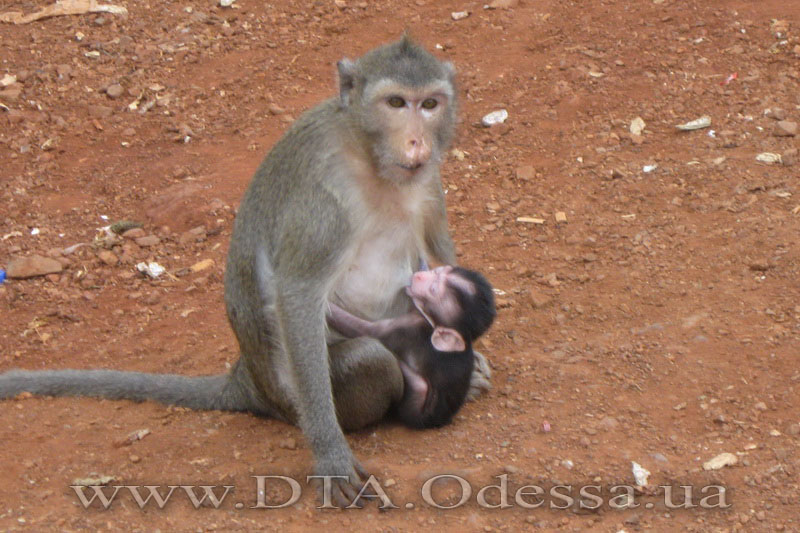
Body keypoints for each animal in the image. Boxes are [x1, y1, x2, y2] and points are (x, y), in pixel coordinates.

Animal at [326, 264, 494, 428]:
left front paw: (327, 306)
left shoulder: (408, 326)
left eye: (433, 289)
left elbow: (366, 330)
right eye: (437, 272)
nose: (420, 276)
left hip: (413, 404)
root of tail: (434, 421)